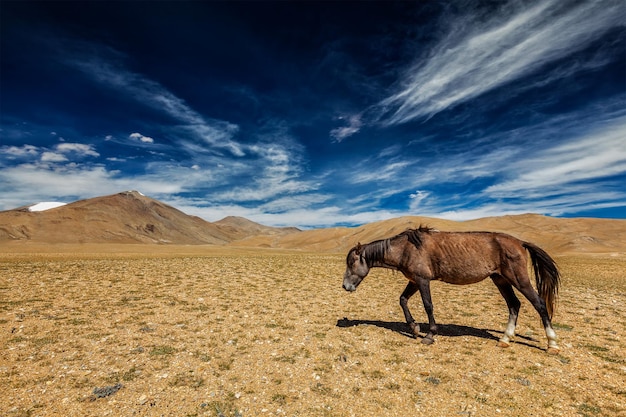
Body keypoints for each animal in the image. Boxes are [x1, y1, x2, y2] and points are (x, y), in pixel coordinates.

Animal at [342, 226, 560, 352]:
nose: (345, 286)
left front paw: (429, 335)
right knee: (514, 305)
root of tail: (520, 242)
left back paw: (552, 343)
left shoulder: (422, 280)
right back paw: (505, 339)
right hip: (500, 279)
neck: (405, 249)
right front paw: (414, 328)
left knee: (539, 304)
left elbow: (428, 305)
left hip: (518, 278)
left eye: (352, 262)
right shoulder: (414, 281)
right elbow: (402, 300)